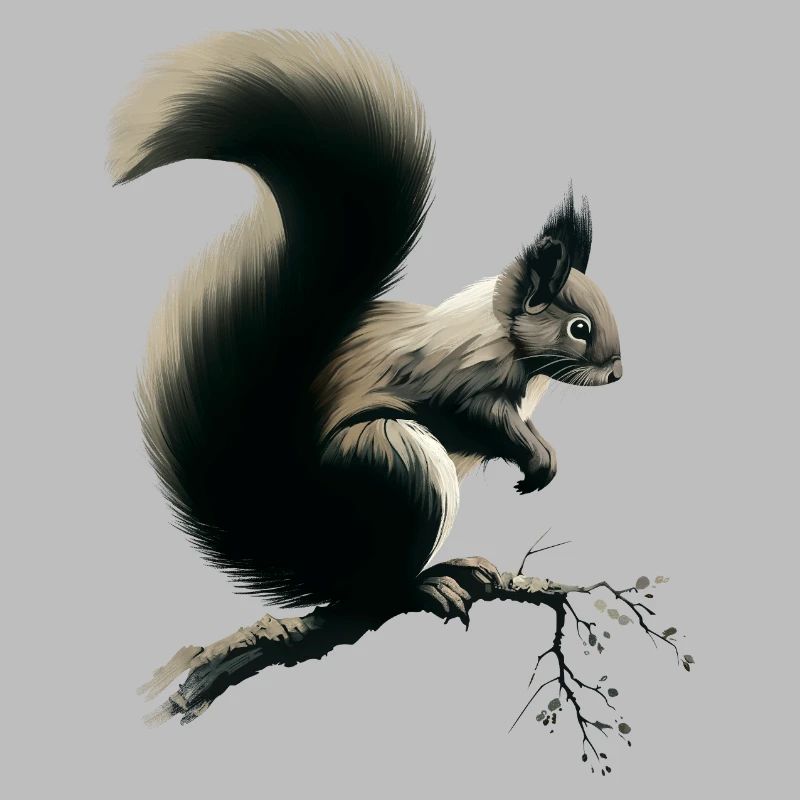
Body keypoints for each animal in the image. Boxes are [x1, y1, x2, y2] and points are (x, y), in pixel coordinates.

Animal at [109, 31, 622, 617]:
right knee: (377, 587)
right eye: (579, 328)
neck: (502, 334)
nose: (616, 372)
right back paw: (428, 582)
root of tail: (301, 544)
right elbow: (481, 417)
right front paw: (537, 457)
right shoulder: (457, 381)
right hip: (394, 465)